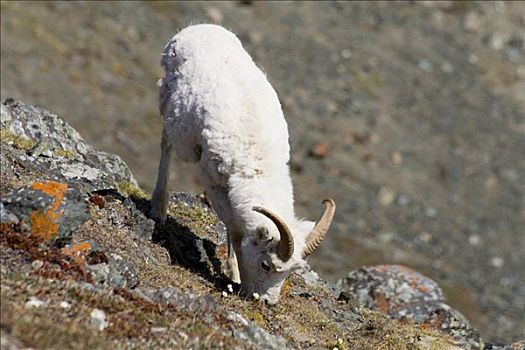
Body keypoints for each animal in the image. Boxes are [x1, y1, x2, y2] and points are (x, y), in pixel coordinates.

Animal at [149, 23, 336, 304]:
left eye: (290, 273)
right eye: (265, 265)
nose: (267, 302)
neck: (257, 164)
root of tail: (197, 28)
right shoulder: (215, 185)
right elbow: (236, 233)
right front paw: (236, 275)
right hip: (169, 107)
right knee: (166, 145)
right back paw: (158, 209)